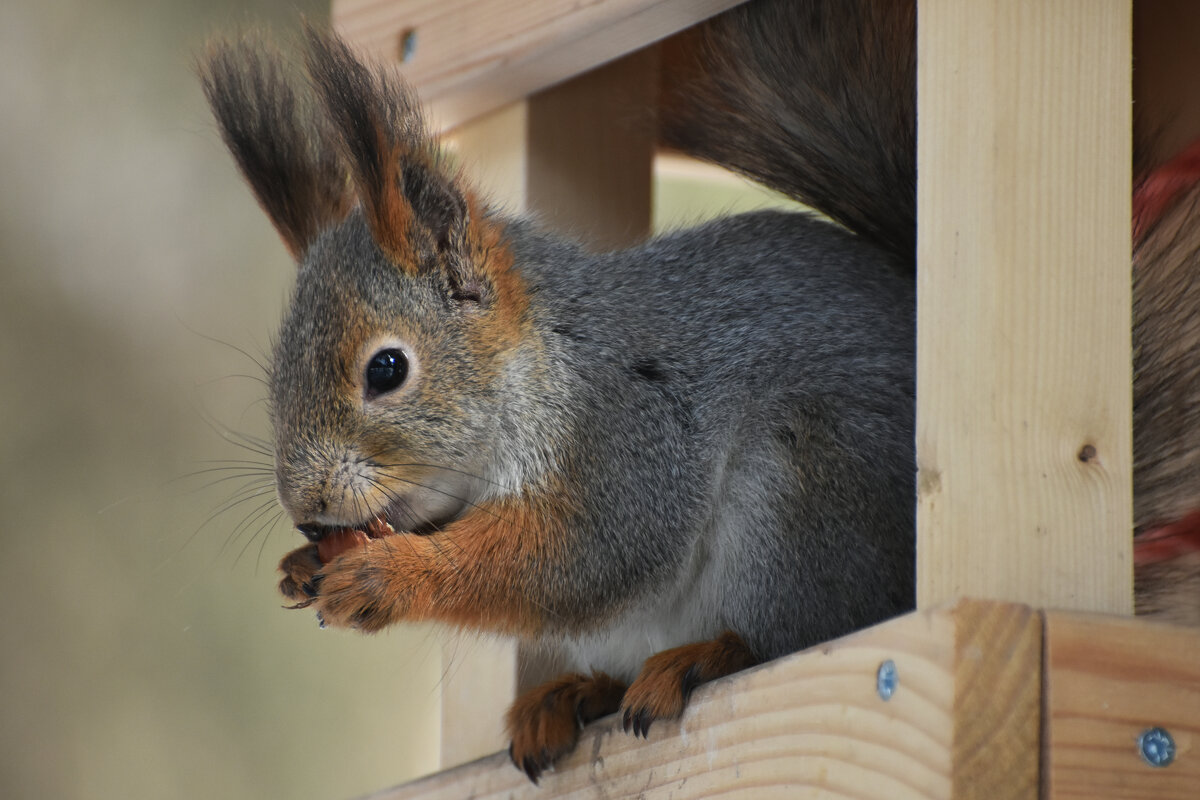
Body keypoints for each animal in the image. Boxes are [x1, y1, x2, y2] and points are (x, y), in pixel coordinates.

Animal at [201, 0, 916, 782]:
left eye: (386, 370)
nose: (307, 509)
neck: (541, 358)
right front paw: (301, 566)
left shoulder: (630, 432)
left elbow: (582, 550)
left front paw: (387, 575)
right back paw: (573, 694)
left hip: (803, 495)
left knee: (788, 631)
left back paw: (704, 655)